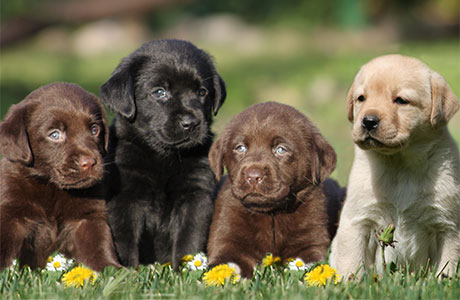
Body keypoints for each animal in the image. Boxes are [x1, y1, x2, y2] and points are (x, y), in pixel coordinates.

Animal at [0, 82, 120, 272]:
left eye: (95, 129)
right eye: (55, 134)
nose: (89, 163)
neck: (51, 186)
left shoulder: (88, 218)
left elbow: (99, 246)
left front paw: (114, 269)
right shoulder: (11, 212)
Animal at [100, 39, 226, 268]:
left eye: (202, 92)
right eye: (159, 92)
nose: (191, 123)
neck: (164, 156)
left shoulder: (196, 195)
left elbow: (189, 239)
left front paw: (186, 269)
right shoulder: (124, 198)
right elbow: (124, 241)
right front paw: (126, 271)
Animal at [207, 101, 336, 276]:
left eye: (281, 149)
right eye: (240, 148)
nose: (253, 176)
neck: (271, 214)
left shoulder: (311, 240)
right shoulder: (227, 236)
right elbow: (225, 266)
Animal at [330, 54, 460, 276]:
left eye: (401, 100)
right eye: (361, 98)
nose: (368, 121)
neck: (400, 164)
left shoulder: (448, 226)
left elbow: (447, 267)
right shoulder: (356, 221)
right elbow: (351, 263)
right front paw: (348, 282)